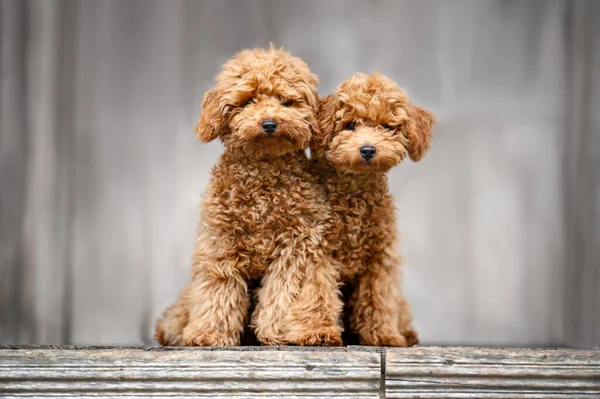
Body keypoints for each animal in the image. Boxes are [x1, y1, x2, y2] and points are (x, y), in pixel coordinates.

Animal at [155, 46, 342, 346]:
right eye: (248, 101)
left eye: (286, 102)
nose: (269, 123)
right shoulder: (219, 244)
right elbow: (218, 291)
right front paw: (210, 333)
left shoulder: (296, 246)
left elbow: (282, 292)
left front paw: (277, 333)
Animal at [312, 72, 434, 346]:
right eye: (350, 125)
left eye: (386, 127)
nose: (368, 149)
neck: (355, 190)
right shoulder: (319, 251)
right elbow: (317, 291)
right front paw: (321, 332)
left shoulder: (380, 257)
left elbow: (378, 296)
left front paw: (383, 335)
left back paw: (407, 334)